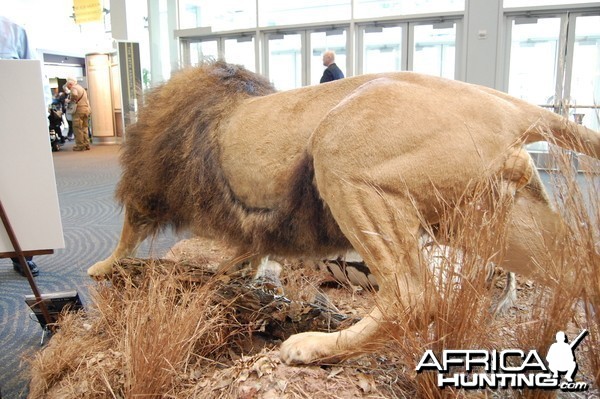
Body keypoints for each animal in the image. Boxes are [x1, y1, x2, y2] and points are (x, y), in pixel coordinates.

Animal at [89, 60, 600, 366]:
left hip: (339, 149)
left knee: (414, 295)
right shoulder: (248, 224)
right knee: (579, 268)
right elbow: (249, 253)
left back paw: (313, 347)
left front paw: (103, 267)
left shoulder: (149, 185)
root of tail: (510, 108)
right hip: (503, 222)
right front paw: (231, 273)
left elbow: (127, 232)